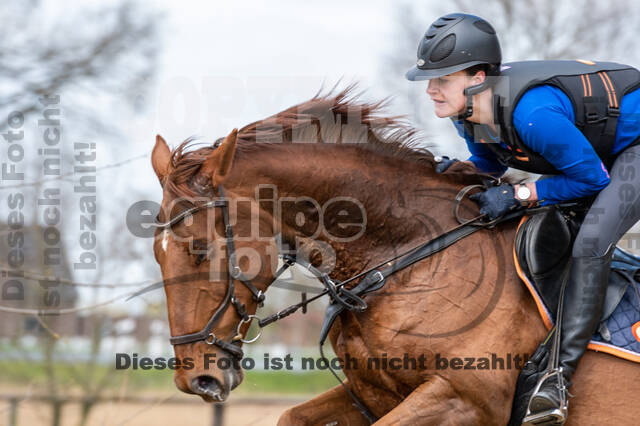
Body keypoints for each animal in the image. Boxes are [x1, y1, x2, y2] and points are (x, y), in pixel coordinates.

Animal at [151, 88, 640, 424]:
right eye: (157, 256)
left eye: (200, 250)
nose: (197, 380)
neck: (400, 260)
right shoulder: (371, 392)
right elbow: (291, 416)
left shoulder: (464, 399)